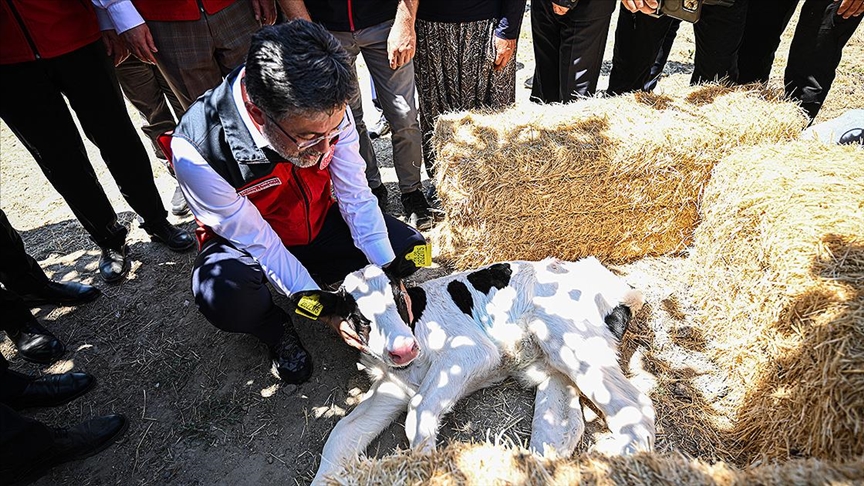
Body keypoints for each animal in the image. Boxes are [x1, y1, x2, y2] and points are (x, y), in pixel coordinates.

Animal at [310, 256, 656, 484]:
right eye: (357, 315)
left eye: (398, 297)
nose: (403, 349)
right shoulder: (392, 386)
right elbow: (342, 432)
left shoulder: (472, 350)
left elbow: (419, 410)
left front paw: (427, 467)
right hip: (553, 362)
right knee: (562, 428)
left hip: (571, 341)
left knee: (635, 404)